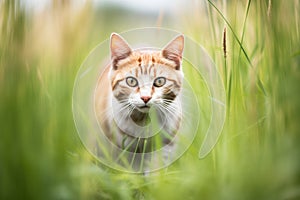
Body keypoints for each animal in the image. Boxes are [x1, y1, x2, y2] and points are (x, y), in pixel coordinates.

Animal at [95, 32, 184, 170]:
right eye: (131, 81)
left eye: (160, 81)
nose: (145, 97)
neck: (144, 120)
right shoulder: (124, 146)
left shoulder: (165, 142)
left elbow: (156, 165)